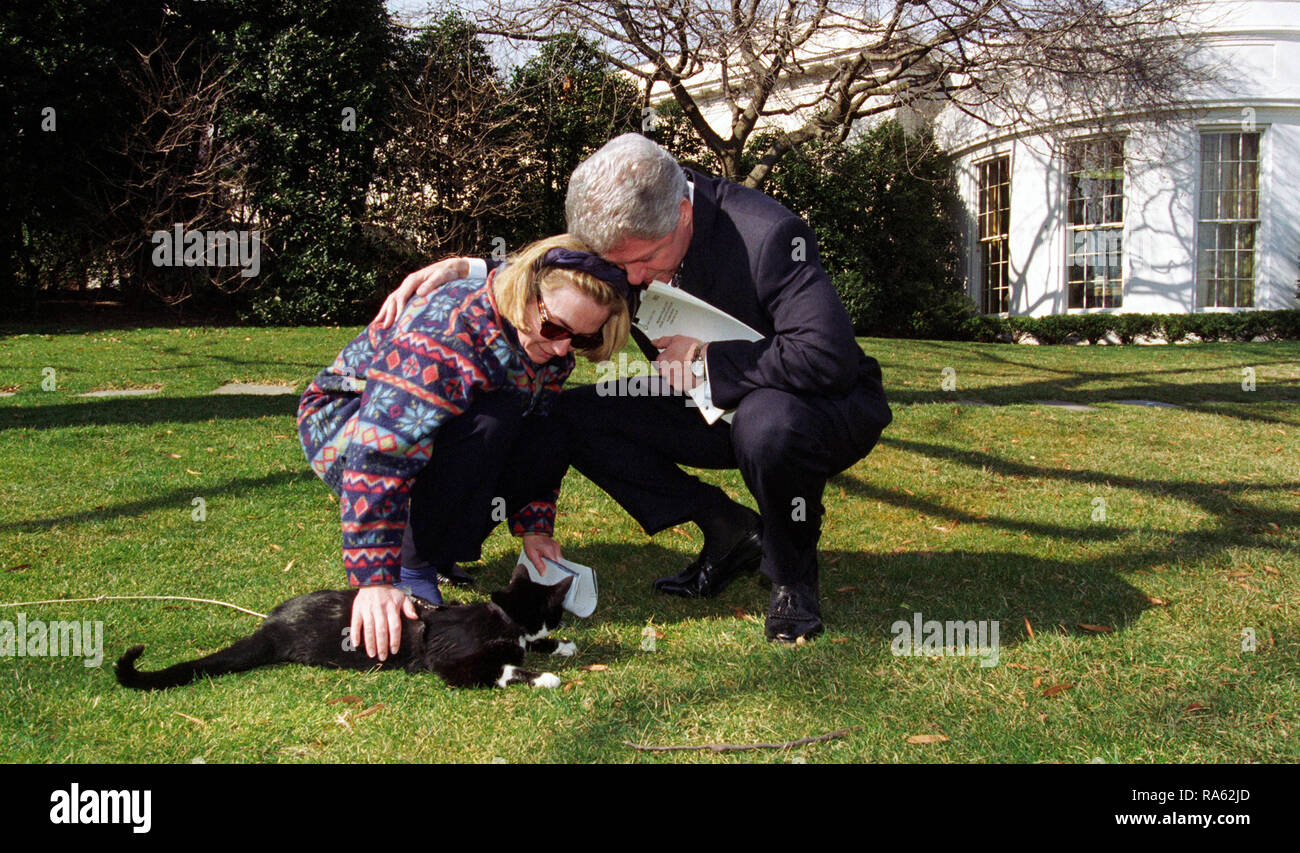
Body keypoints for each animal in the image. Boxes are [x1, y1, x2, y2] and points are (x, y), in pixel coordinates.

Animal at [115, 564, 574, 691]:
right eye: (558, 611)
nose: (562, 626)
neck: (501, 618)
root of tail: (270, 627)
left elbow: (529, 646)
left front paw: (560, 647)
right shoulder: (452, 665)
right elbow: (506, 668)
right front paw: (546, 676)